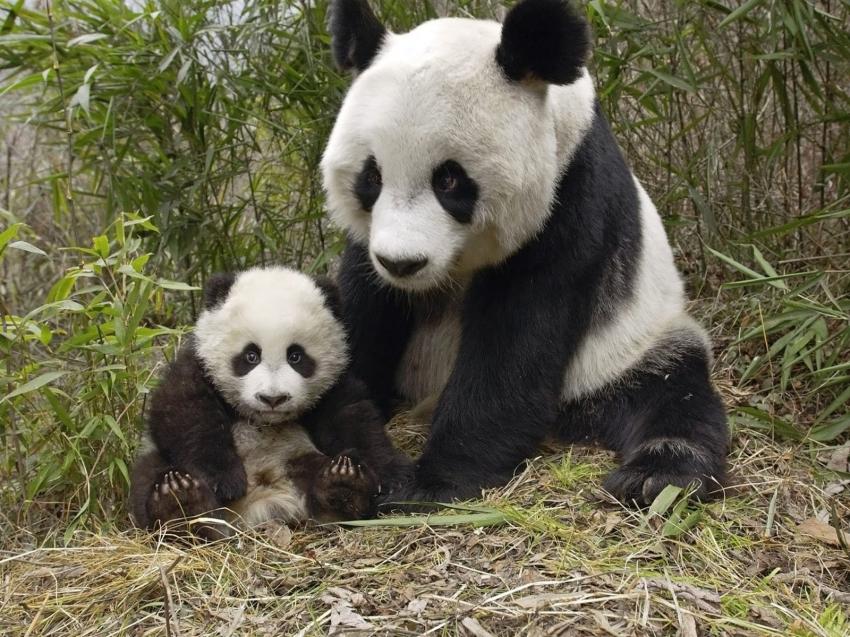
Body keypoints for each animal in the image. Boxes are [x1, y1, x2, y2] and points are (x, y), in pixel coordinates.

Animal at [129, 266, 410, 537]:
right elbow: (184, 412)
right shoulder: (197, 364)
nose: (273, 398)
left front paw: (392, 477)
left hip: (297, 458)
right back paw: (179, 504)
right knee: (149, 474)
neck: (263, 421)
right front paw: (224, 480)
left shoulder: (334, 384)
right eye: (250, 355)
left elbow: (354, 419)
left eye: (296, 356)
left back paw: (343, 486)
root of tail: (260, 505)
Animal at [321, 0, 729, 507]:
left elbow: (516, 340)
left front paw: (430, 483)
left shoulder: (569, 200)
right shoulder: (369, 248)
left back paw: (656, 475)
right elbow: (363, 311)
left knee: (673, 392)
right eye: (372, 177)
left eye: (449, 180)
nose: (403, 263)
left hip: (629, 346)